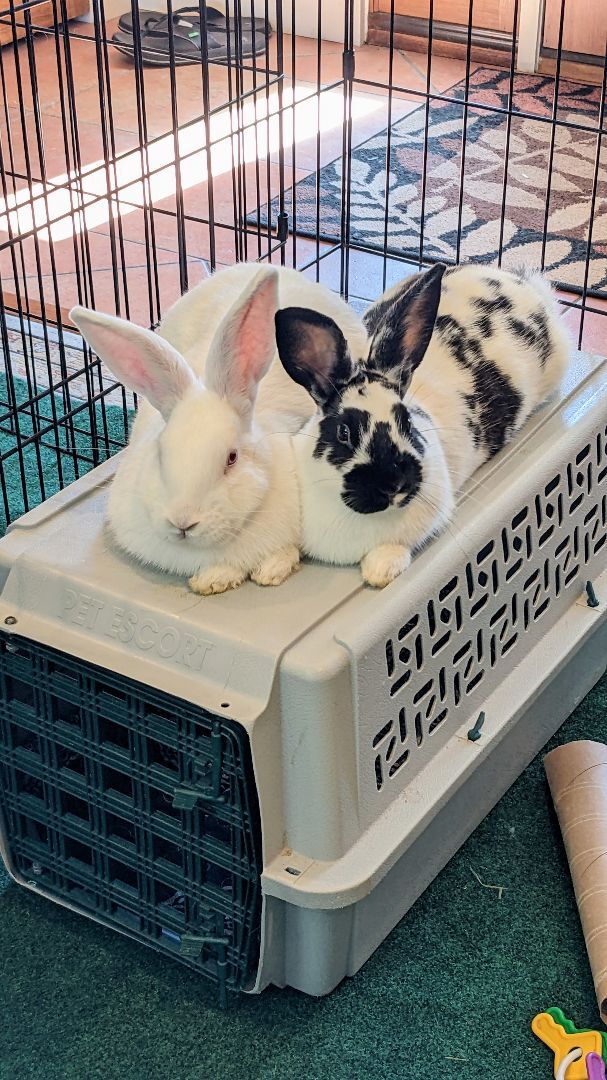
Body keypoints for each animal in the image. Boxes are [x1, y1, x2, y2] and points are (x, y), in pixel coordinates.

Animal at [274, 263, 565, 591]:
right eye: (344, 433)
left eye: (407, 422)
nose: (393, 485)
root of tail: (523, 282)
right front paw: (272, 567)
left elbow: (392, 549)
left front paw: (379, 570)